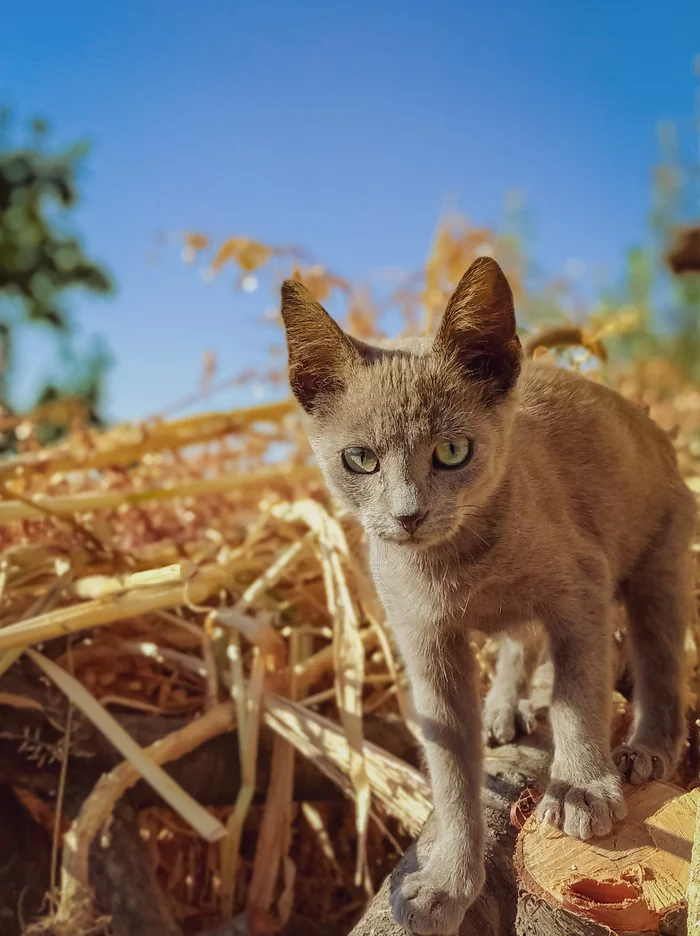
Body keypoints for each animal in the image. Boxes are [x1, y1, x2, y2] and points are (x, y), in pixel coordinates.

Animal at [278, 258, 696, 936]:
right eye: (360, 459)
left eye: (452, 451)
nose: (408, 515)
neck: (461, 567)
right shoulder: (426, 643)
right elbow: (451, 771)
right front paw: (450, 883)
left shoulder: (581, 587)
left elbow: (578, 695)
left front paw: (581, 788)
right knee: (518, 642)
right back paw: (505, 706)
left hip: (659, 558)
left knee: (659, 660)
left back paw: (647, 750)